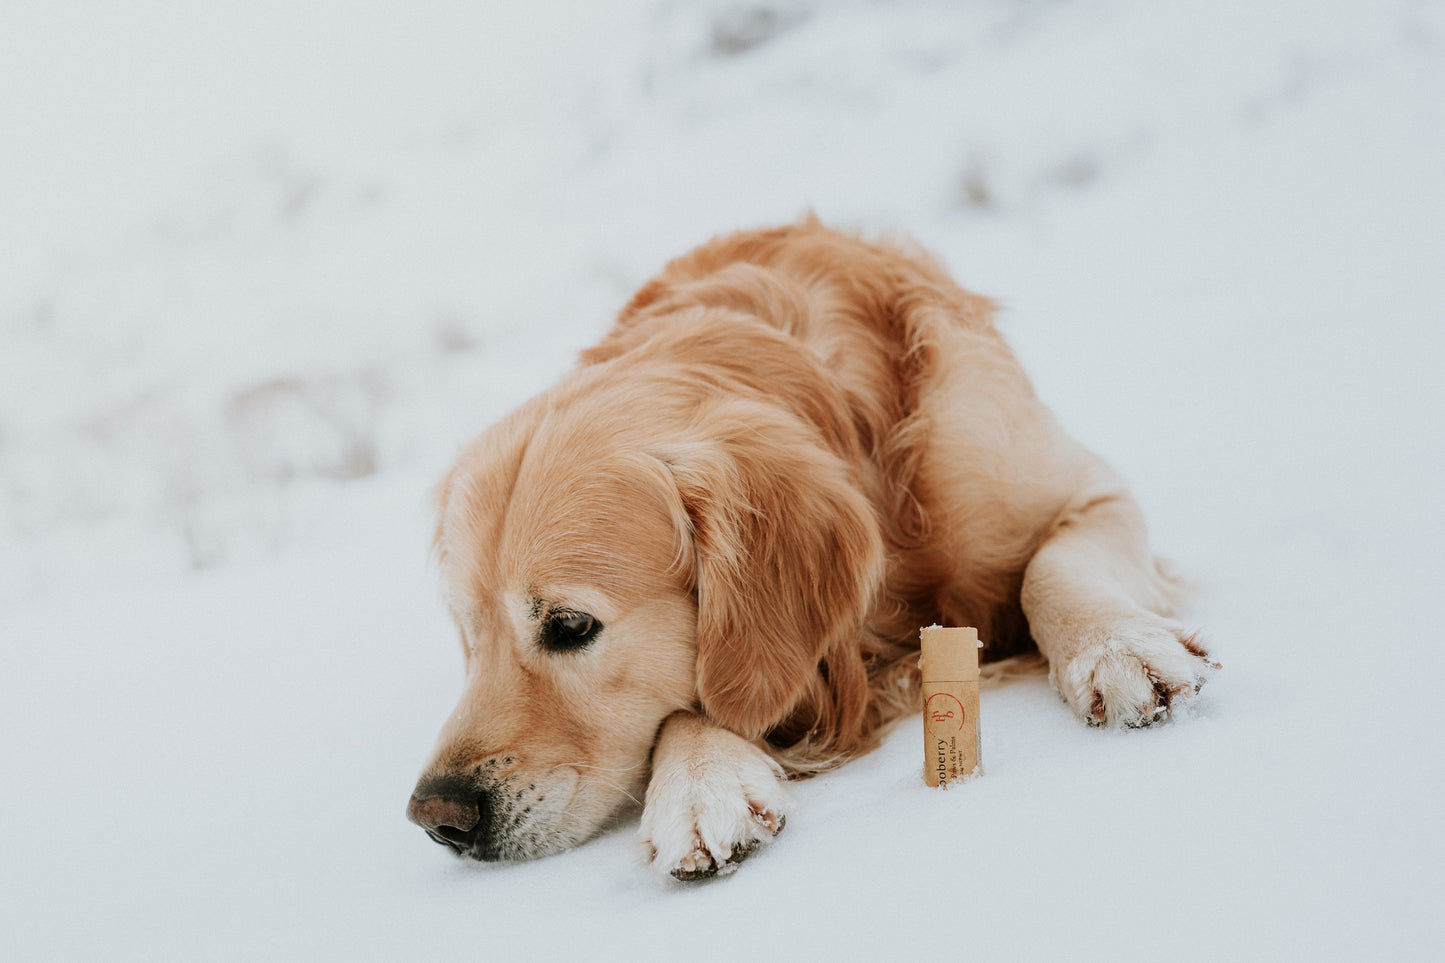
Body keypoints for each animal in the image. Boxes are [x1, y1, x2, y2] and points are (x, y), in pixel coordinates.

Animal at [404, 216, 1208, 879]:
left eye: (570, 625)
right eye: (471, 637)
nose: (437, 817)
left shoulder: (1087, 490)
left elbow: (1051, 564)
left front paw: (1117, 650)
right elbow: (702, 699)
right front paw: (700, 782)